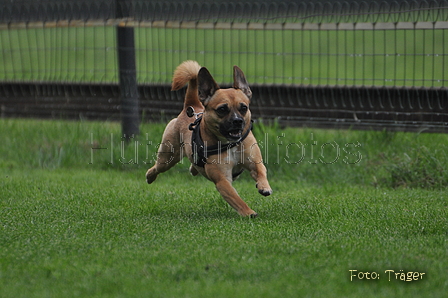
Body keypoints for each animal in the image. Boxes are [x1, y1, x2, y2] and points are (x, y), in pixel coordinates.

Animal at [147, 60, 272, 217]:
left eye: (243, 108)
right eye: (222, 109)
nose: (237, 121)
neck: (229, 143)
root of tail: (191, 106)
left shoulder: (255, 162)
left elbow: (261, 171)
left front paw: (264, 187)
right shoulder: (223, 180)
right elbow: (236, 199)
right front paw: (248, 212)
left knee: (193, 165)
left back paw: (194, 168)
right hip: (167, 157)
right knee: (157, 167)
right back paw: (150, 176)